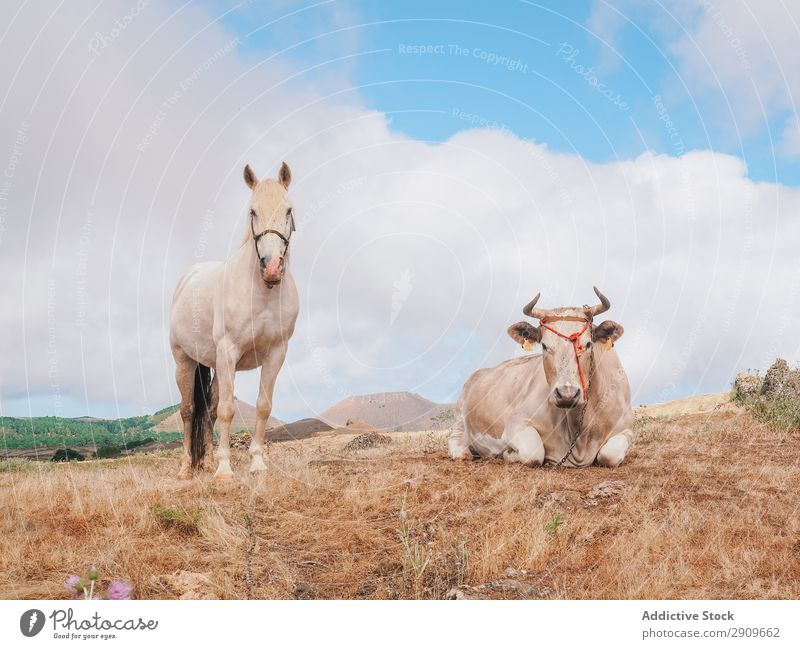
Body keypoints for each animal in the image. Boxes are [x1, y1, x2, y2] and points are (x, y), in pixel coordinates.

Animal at [169, 162, 296, 478]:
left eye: (289, 210)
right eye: (252, 212)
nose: (272, 268)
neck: (260, 293)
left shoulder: (276, 354)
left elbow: (262, 407)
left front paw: (257, 463)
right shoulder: (228, 352)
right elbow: (227, 409)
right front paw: (225, 469)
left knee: (209, 409)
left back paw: (205, 462)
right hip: (184, 360)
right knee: (188, 410)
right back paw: (186, 468)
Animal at [450, 288, 632, 466]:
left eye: (588, 344)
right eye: (544, 346)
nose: (567, 394)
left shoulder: (627, 429)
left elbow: (610, 455)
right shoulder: (515, 423)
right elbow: (533, 452)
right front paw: (508, 454)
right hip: (460, 415)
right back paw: (462, 453)